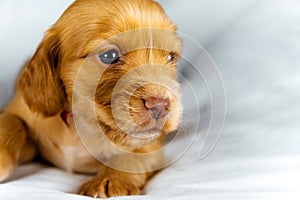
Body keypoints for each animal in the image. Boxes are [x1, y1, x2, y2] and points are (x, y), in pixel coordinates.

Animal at [0, 0, 180, 197]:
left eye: (171, 57)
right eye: (109, 56)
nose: (161, 105)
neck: (78, 124)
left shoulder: (150, 146)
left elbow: (132, 156)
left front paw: (110, 179)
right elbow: (11, 122)